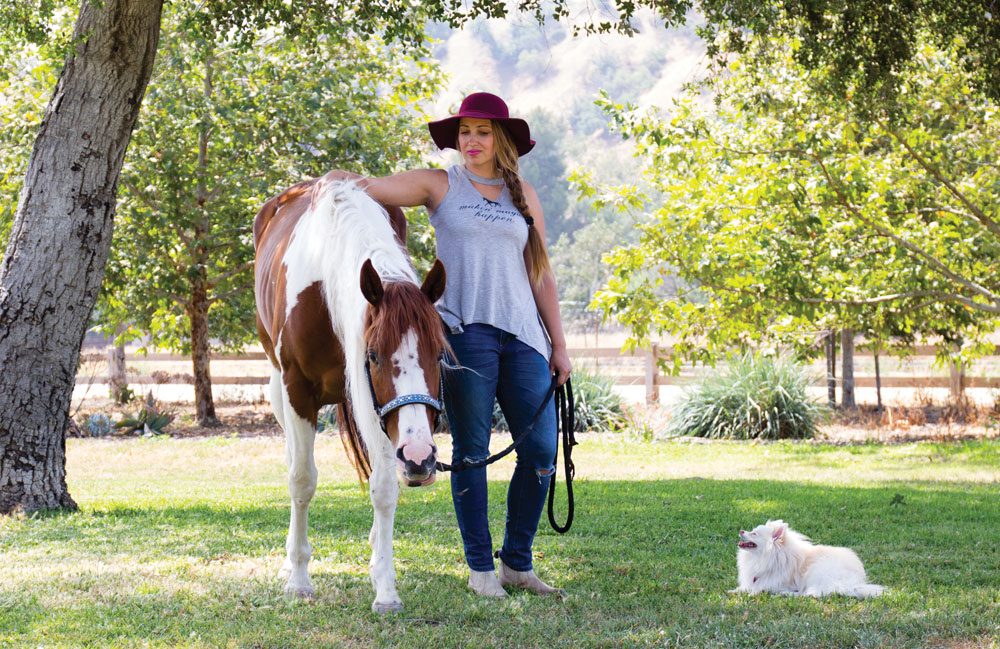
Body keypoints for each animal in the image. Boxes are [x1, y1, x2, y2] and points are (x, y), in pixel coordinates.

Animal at [254, 173, 446, 612]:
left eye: (440, 353)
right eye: (373, 355)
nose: (421, 459)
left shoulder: (379, 410)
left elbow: (385, 486)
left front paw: (385, 585)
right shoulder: (297, 391)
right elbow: (302, 480)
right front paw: (299, 579)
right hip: (278, 390)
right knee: (293, 460)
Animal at [732, 520, 888, 596]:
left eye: (754, 534)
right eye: (751, 530)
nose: (741, 530)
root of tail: (853, 584)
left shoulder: (778, 582)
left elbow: (762, 587)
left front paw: (753, 593)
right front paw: (736, 591)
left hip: (816, 571)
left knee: (811, 594)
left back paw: (788, 594)